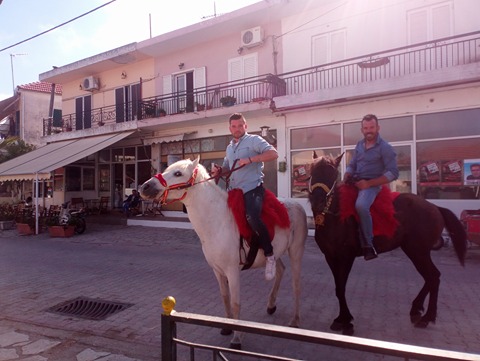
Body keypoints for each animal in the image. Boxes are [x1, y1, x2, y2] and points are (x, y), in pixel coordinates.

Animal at [139, 156, 308, 348]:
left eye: (178, 173)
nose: (145, 187)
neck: (217, 221)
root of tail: (297, 205)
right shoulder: (217, 270)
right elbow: (225, 297)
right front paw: (227, 328)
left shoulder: (232, 271)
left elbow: (235, 303)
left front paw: (237, 338)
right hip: (273, 252)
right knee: (279, 270)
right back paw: (271, 304)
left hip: (296, 252)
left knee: (296, 285)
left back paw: (295, 320)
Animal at [308, 152, 464, 334]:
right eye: (312, 173)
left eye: (333, 174)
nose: (317, 200)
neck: (335, 218)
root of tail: (434, 207)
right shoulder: (330, 257)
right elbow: (338, 287)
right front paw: (340, 319)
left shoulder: (346, 257)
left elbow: (341, 287)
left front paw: (346, 322)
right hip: (413, 250)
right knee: (431, 277)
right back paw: (417, 309)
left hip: (418, 251)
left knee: (433, 276)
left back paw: (427, 317)